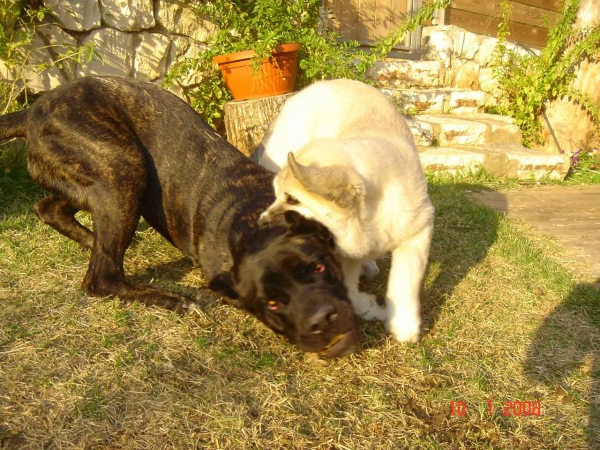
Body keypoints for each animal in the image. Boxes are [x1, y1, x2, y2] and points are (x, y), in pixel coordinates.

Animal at [0, 77, 356, 358]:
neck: (253, 219)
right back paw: (174, 300)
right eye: (271, 304)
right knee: (101, 276)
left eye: (319, 267)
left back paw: (94, 240)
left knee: (50, 209)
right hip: (123, 167)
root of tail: (32, 110)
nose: (320, 318)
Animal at [255, 79, 434, 342]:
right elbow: (348, 288)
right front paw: (368, 307)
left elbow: (405, 280)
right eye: (280, 196)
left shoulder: (417, 231)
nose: (261, 223)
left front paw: (404, 325)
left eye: (293, 200)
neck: (368, 213)